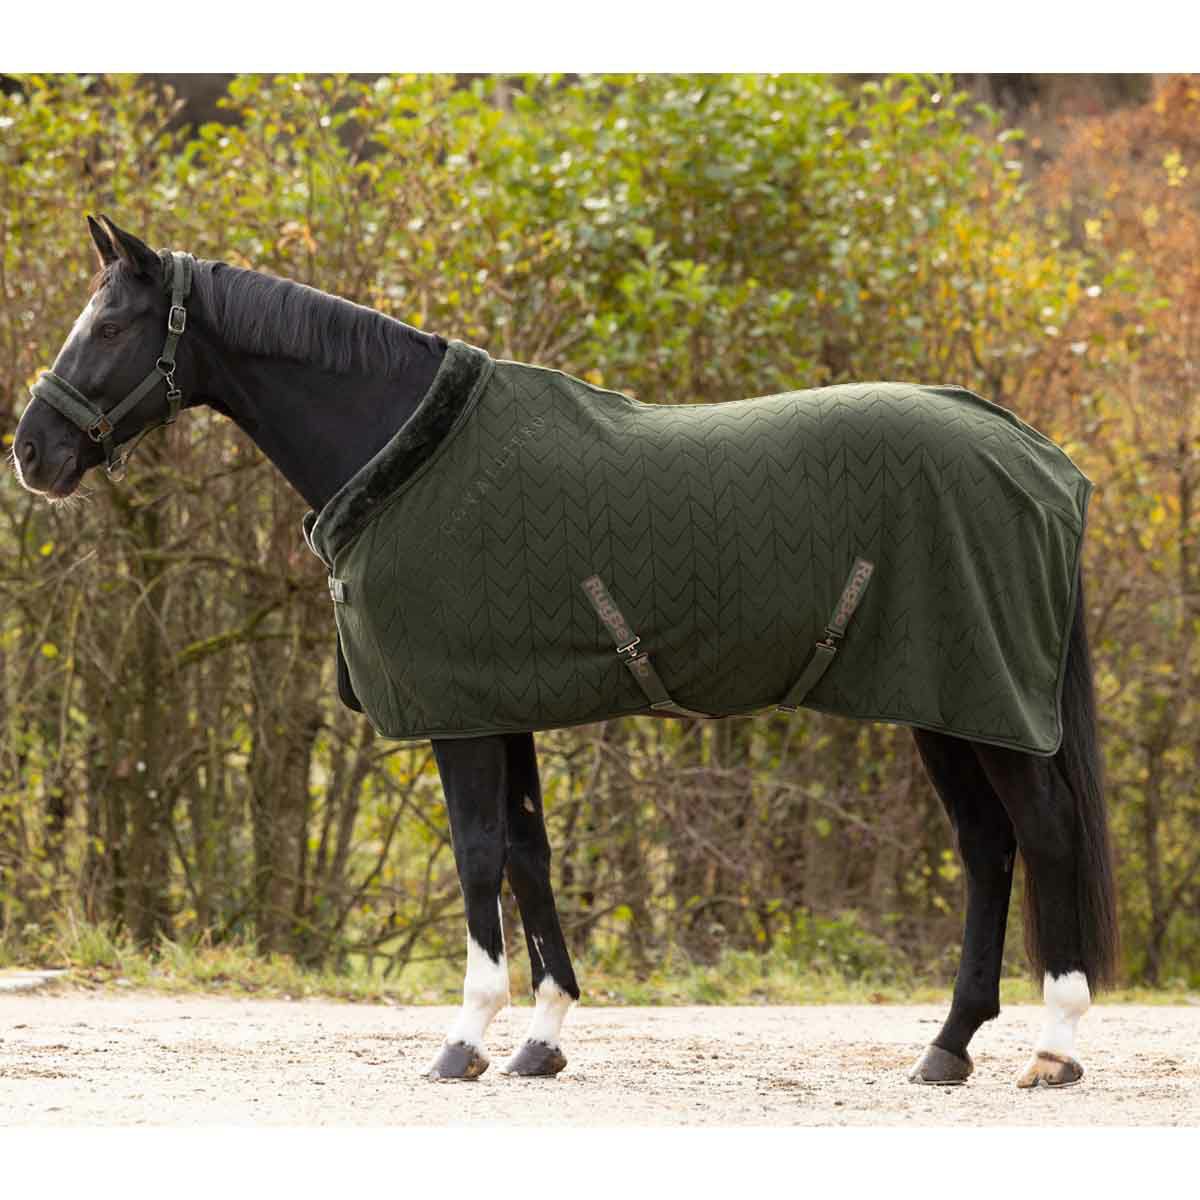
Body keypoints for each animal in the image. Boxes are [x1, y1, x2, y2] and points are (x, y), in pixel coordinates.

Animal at [12, 216, 1118, 1088]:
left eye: (109, 325)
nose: (32, 454)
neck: (409, 451)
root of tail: (1043, 462)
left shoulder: (460, 715)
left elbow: (476, 855)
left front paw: (465, 1038)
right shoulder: (502, 706)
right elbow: (529, 854)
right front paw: (541, 1039)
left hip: (992, 707)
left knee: (1047, 835)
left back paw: (1055, 1047)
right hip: (946, 705)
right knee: (988, 852)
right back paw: (949, 1046)